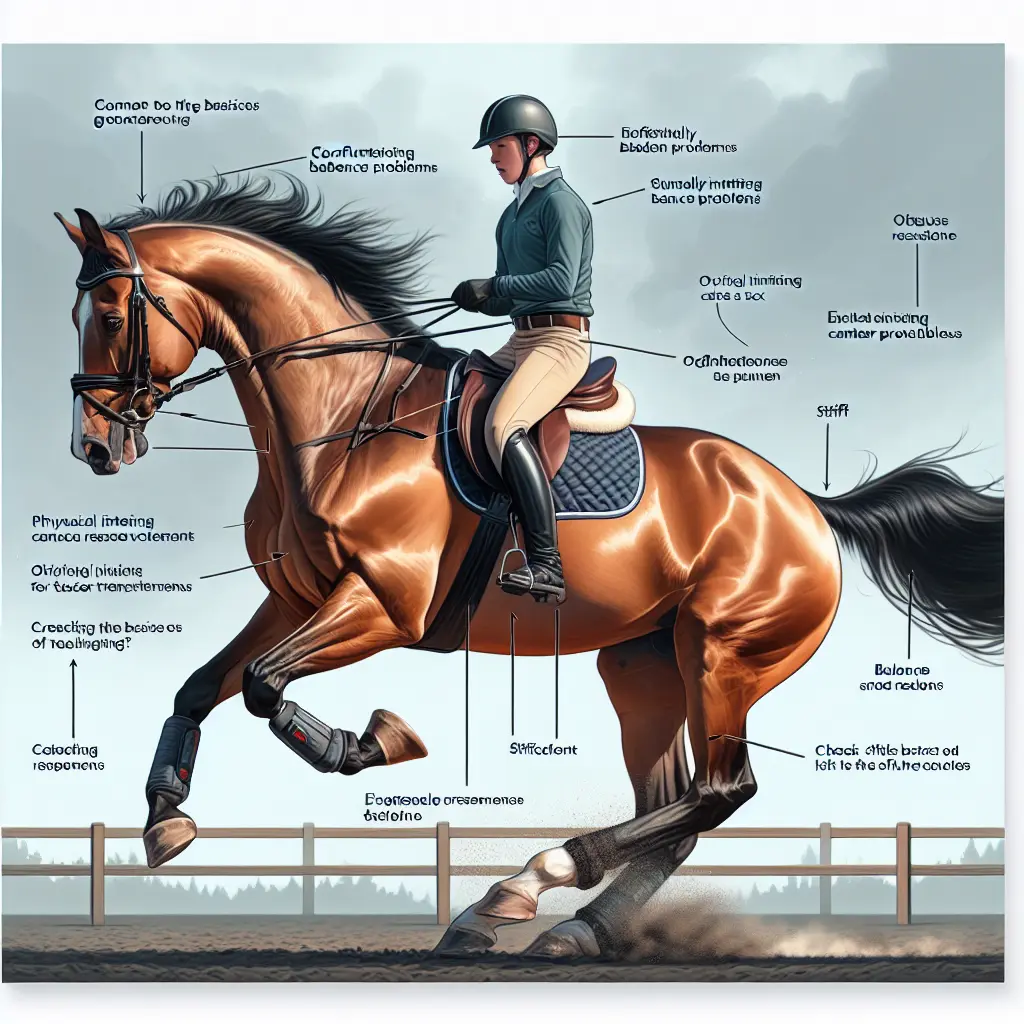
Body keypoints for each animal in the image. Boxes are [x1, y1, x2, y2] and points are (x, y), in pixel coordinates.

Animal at [57, 175, 1003, 959]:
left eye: (110, 315)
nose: (95, 450)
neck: (343, 416)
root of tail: (803, 501)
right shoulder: (295, 598)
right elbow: (201, 686)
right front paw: (166, 821)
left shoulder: (382, 604)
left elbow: (260, 685)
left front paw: (373, 742)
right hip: (643, 664)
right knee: (675, 808)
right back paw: (565, 926)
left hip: (724, 653)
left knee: (720, 791)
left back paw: (530, 883)